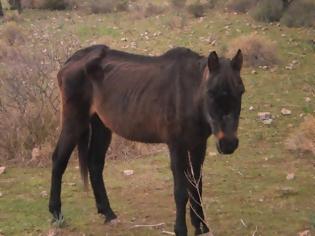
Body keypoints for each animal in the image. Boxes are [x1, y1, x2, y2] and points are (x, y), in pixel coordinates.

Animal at [49, 44, 246, 236]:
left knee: (95, 164)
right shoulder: (177, 146)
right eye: (211, 92)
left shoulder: (198, 145)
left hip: (101, 125)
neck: (189, 94)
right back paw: (56, 214)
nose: (228, 144)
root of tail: (71, 61)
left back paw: (108, 213)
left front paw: (201, 226)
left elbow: (196, 185)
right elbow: (181, 191)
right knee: (59, 160)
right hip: (74, 121)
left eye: (241, 91)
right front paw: (180, 229)